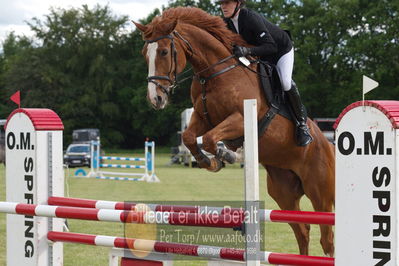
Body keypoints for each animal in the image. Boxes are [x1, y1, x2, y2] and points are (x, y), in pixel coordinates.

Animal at [134, 6, 334, 256]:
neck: (214, 72)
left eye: (162, 52)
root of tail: (328, 145)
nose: (156, 99)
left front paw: (225, 155)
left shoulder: (239, 119)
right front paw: (211, 161)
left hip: (319, 192)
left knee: (326, 239)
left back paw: (303, 134)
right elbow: (191, 137)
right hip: (284, 192)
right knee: (302, 231)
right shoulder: (202, 118)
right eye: (144, 53)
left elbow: (209, 139)